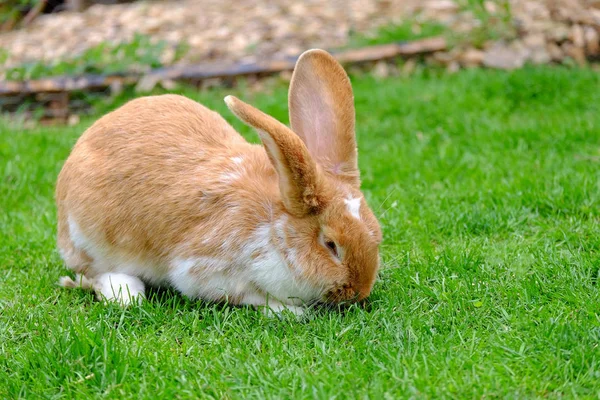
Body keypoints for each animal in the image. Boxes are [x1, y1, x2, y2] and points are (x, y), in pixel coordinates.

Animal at [57, 48, 384, 314]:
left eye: (376, 234)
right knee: (93, 273)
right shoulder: (204, 270)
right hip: (89, 240)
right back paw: (126, 294)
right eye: (330, 245)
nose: (358, 292)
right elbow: (251, 296)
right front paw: (290, 311)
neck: (275, 226)